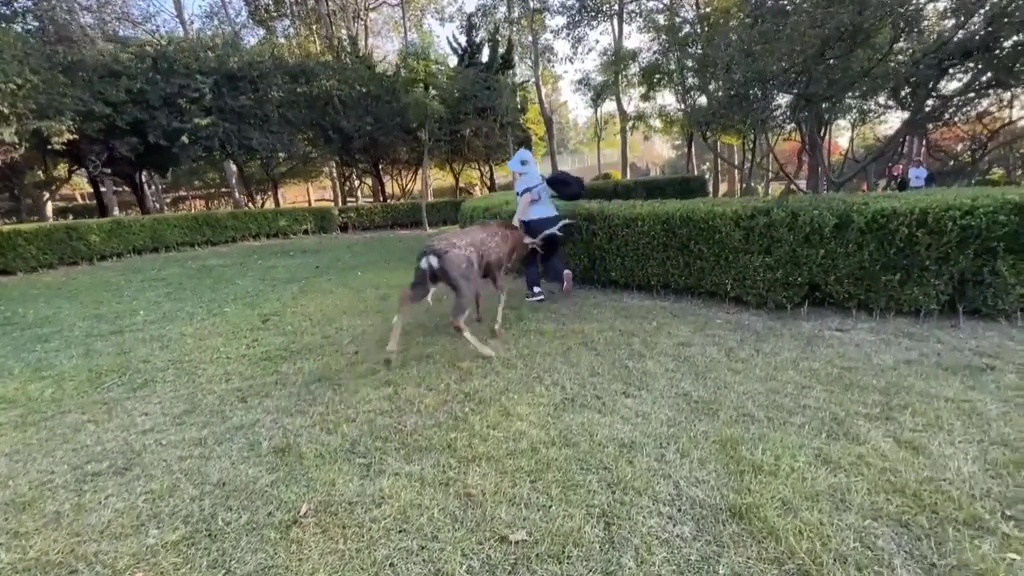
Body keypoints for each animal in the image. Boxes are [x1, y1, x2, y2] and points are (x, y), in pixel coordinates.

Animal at [386, 218, 574, 359]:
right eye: (528, 248)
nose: (516, 266)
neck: (508, 240)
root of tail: (429, 256)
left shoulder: (478, 275)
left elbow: (480, 295)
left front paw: (479, 316)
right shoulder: (494, 268)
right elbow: (502, 294)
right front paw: (496, 328)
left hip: (424, 280)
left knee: (404, 297)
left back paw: (391, 347)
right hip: (461, 282)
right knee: (456, 319)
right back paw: (487, 351)